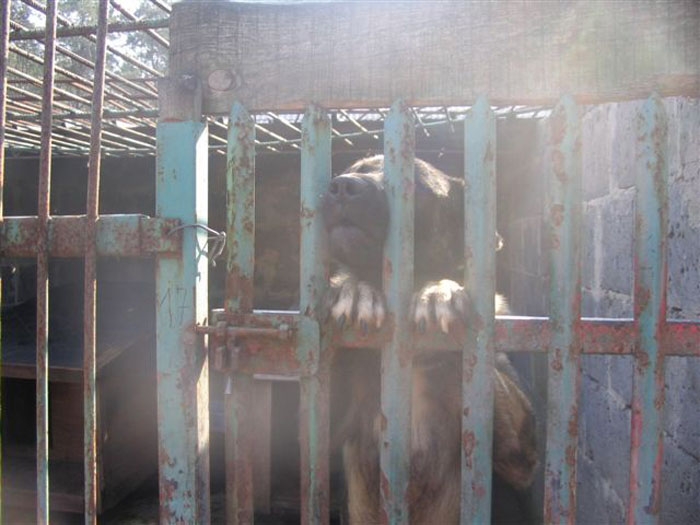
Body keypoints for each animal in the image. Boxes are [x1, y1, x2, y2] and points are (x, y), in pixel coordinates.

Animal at [322, 155, 538, 524]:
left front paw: (438, 291)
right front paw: (354, 290)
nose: (342, 186)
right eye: (356, 169)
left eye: (414, 184)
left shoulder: (520, 455)